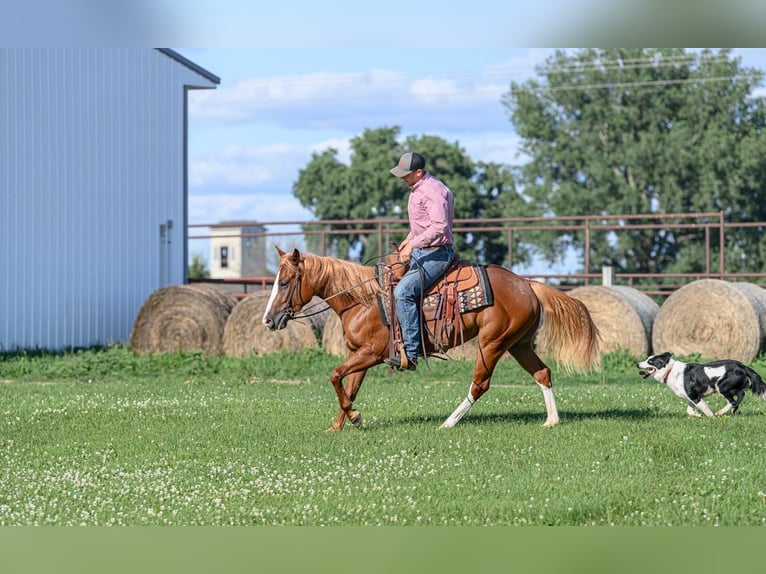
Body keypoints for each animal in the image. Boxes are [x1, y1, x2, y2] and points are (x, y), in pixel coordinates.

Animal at [262, 246, 601, 431]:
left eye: (286, 281)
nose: (267, 319)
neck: (363, 300)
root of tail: (528, 284)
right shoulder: (360, 355)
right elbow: (349, 387)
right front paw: (342, 424)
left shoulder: (370, 353)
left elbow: (334, 375)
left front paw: (353, 417)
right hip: (518, 344)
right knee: (542, 373)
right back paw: (552, 420)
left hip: (492, 343)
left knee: (480, 384)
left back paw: (448, 423)